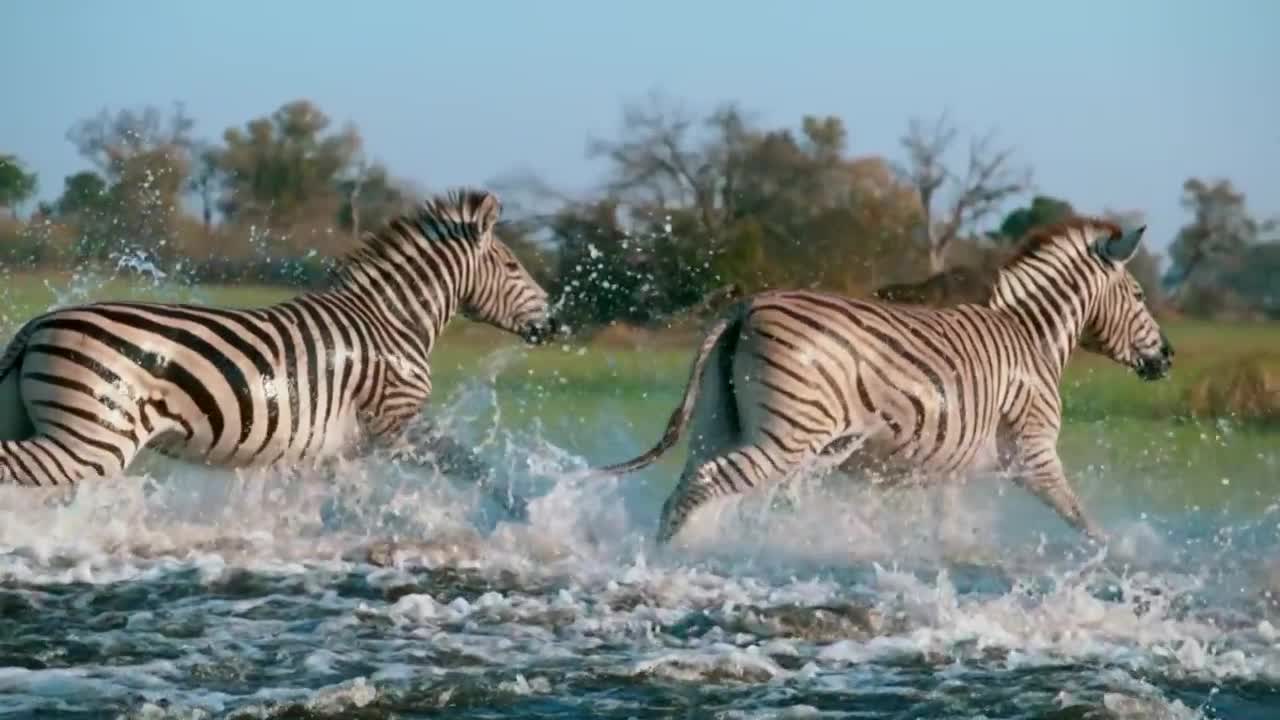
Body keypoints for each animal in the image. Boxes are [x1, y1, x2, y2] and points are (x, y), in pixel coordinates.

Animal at [1, 184, 560, 509]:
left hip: (41, 420)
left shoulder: (334, 447)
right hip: (94, 438)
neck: (391, 321)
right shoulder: (395, 424)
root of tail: (39, 323)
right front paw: (520, 511)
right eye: (513, 267)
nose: (554, 323)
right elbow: (471, 466)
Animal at [588, 217, 1172, 543]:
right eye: (1140, 296)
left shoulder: (942, 470)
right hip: (786, 436)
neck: (1034, 338)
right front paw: (1121, 558)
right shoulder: (1031, 454)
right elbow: (1083, 521)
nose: (1168, 357)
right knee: (705, 485)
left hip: (717, 423)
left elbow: (946, 530)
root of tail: (743, 307)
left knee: (687, 485)